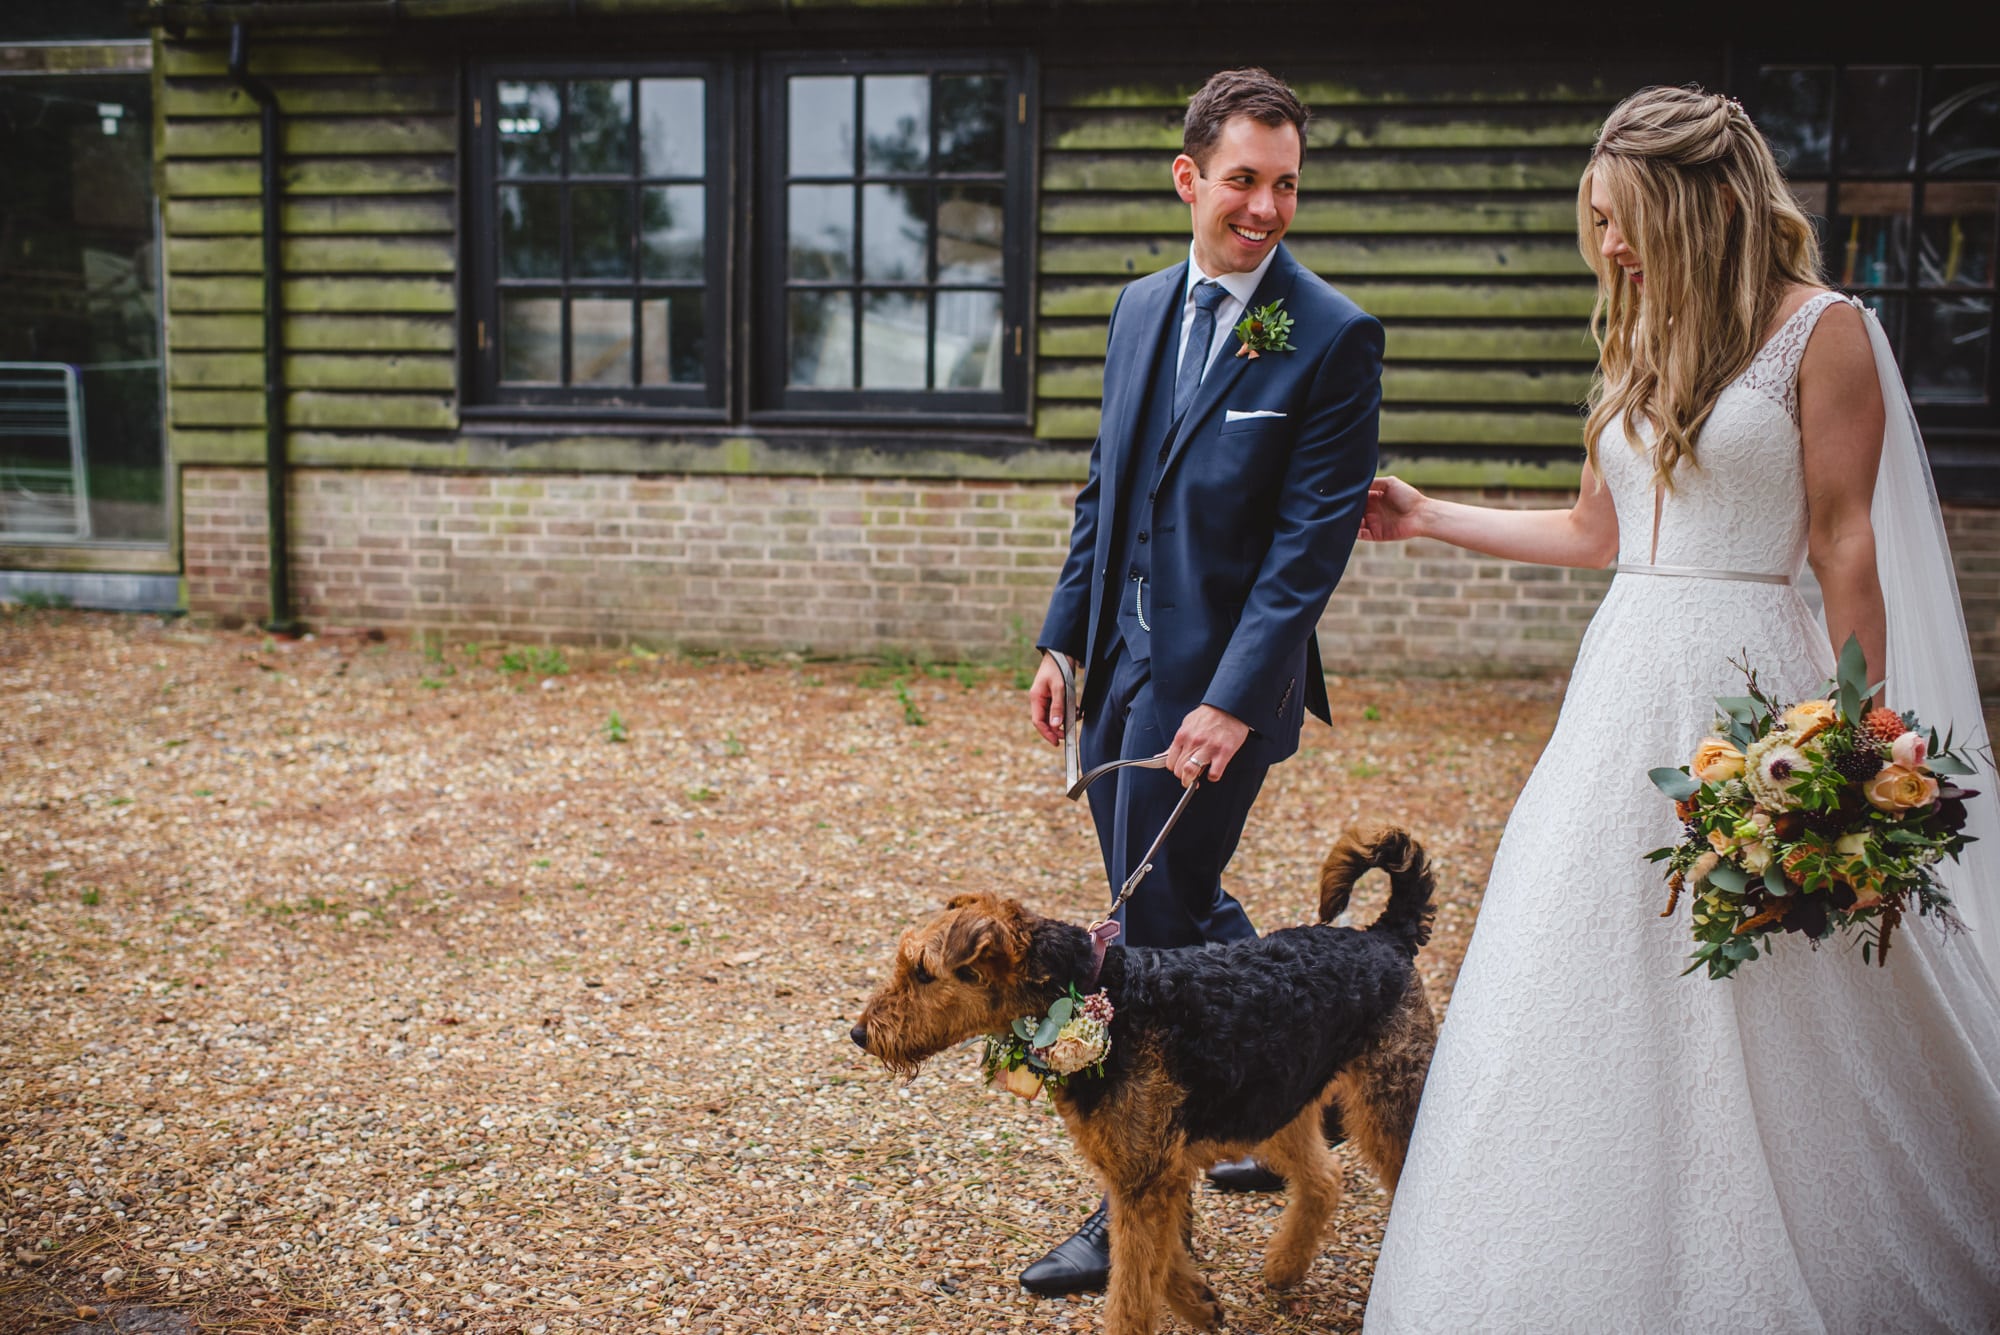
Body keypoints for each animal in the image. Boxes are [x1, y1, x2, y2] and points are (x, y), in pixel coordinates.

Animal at [848, 823, 1440, 1335]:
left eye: (923, 972)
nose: (860, 1033)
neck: (1102, 993)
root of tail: (1386, 938)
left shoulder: (1144, 1177)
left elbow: (1132, 1292)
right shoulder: (1146, 1173)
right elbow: (1160, 1261)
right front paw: (1201, 1304)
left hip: (1389, 1103)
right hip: (1274, 1103)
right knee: (1323, 1178)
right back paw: (1283, 1268)